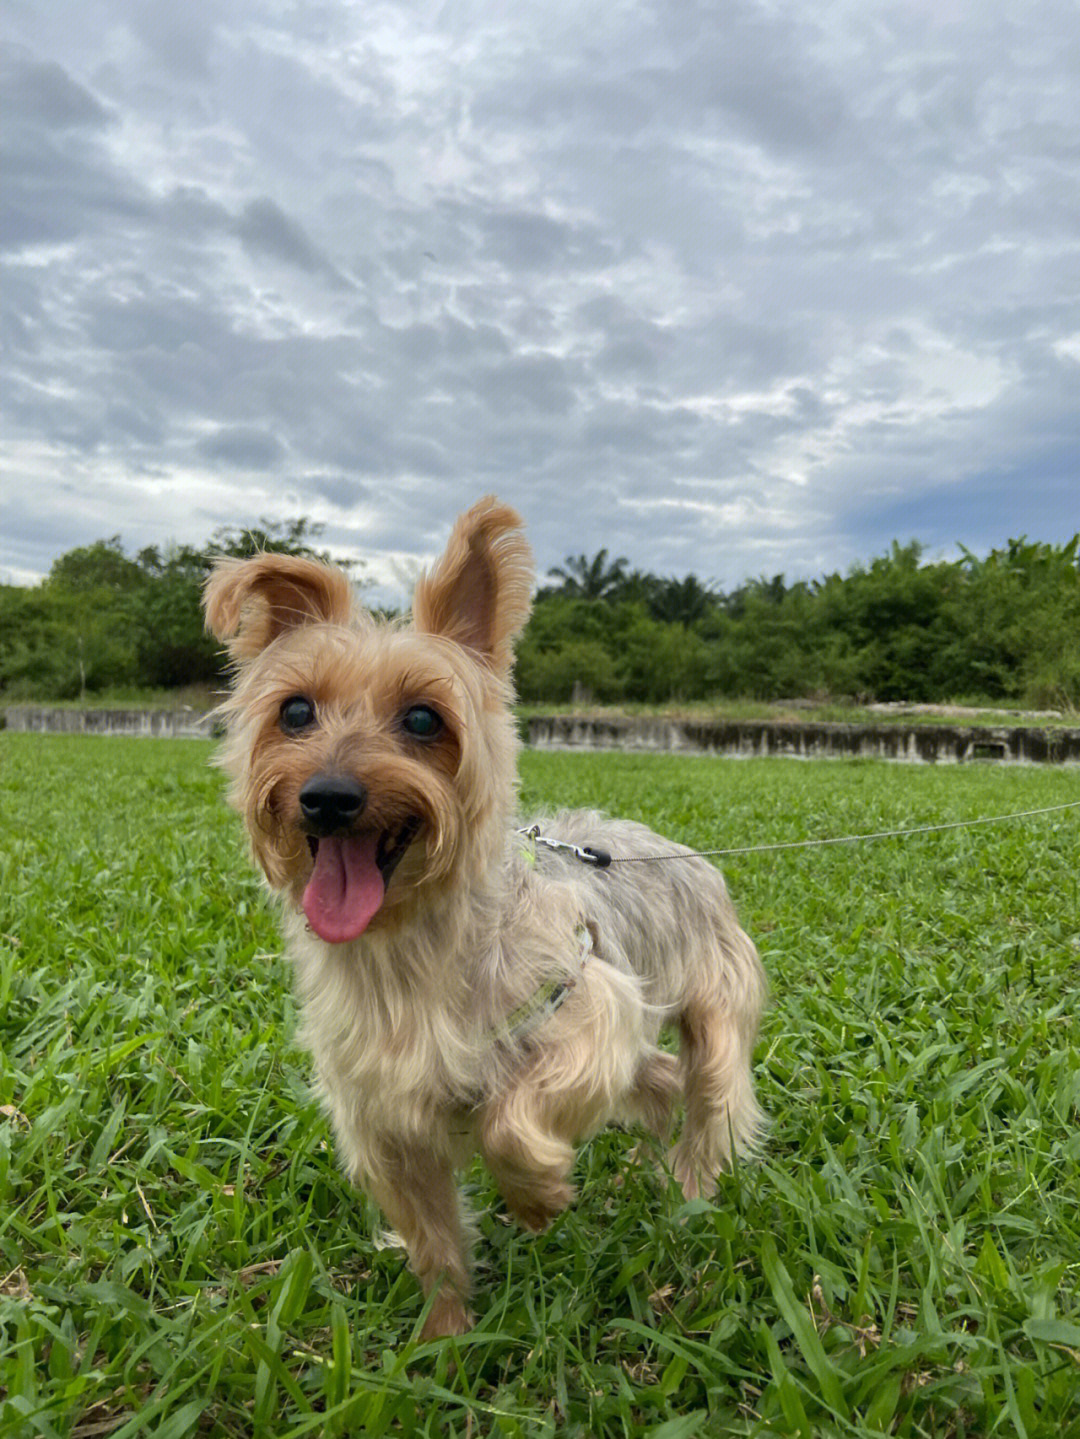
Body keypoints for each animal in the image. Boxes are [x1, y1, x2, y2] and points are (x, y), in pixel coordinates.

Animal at [202, 495, 770, 1335]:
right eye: (294, 711)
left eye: (424, 719)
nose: (328, 796)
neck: (409, 941)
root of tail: (678, 848)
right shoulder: (382, 1117)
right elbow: (433, 1237)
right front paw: (443, 1339)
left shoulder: (587, 1006)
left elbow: (509, 1119)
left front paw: (537, 1198)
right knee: (661, 1080)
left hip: (717, 1011)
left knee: (708, 1096)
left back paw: (687, 1190)